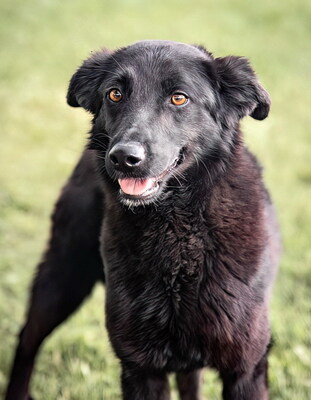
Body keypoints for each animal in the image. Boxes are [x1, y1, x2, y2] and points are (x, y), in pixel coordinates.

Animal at [5, 41, 280, 400]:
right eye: (115, 94)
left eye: (179, 98)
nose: (123, 158)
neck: (176, 231)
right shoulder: (141, 367)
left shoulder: (245, 369)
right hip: (63, 274)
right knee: (27, 338)